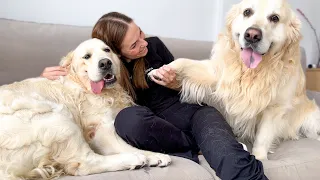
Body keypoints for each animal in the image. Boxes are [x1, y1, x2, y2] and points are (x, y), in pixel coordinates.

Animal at [0, 38, 170, 180]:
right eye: (87, 57)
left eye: (107, 50)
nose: (105, 63)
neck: (83, 84)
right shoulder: (102, 130)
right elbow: (126, 146)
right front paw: (152, 155)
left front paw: (154, 157)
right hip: (58, 116)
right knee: (84, 163)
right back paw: (134, 159)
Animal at [149, 0, 320, 160]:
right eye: (247, 12)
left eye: (274, 18)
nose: (252, 35)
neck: (250, 71)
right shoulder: (216, 73)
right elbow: (183, 61)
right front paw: (161, 71)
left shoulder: (276, 108)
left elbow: (262, 138)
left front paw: (260, 157)